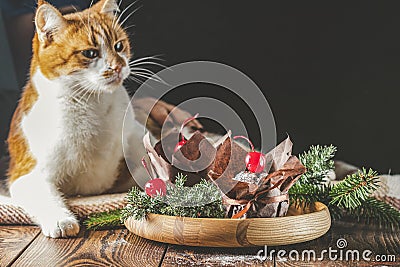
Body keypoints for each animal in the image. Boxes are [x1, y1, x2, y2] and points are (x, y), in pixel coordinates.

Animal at [7, 0, 152, 239]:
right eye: (90, 53)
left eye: (118, 46)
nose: (118, 66)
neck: (92, 106)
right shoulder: (26, 175)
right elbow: (45, 196)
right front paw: (61, 220)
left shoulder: (135, 134)